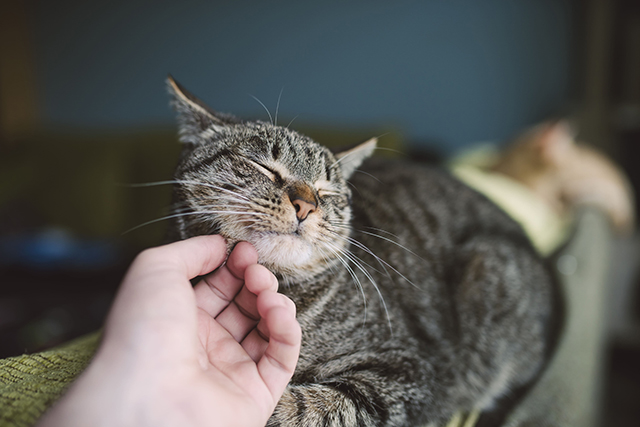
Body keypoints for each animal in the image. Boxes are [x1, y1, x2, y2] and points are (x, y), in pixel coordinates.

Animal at [164, 77, 560, 427]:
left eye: (327, 192)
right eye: (264, 167)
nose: (306, 205)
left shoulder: (410, 372)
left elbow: (312, 407)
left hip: (488, 267)